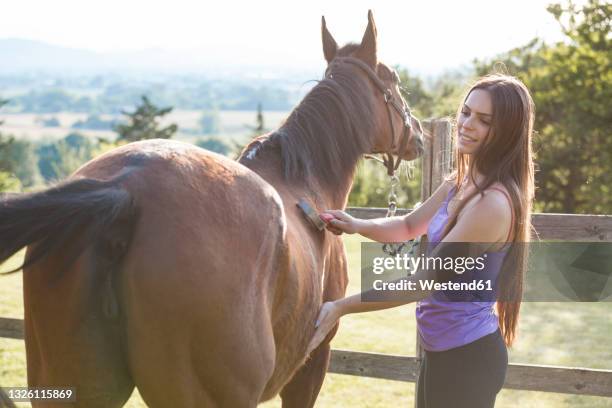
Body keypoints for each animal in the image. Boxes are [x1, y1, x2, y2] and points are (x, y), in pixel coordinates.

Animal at [0, 10, 420, 408]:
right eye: (395, 80)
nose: (418, 133)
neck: (307, 181)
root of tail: (124, 191)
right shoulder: (311, 366)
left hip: (75, 385)